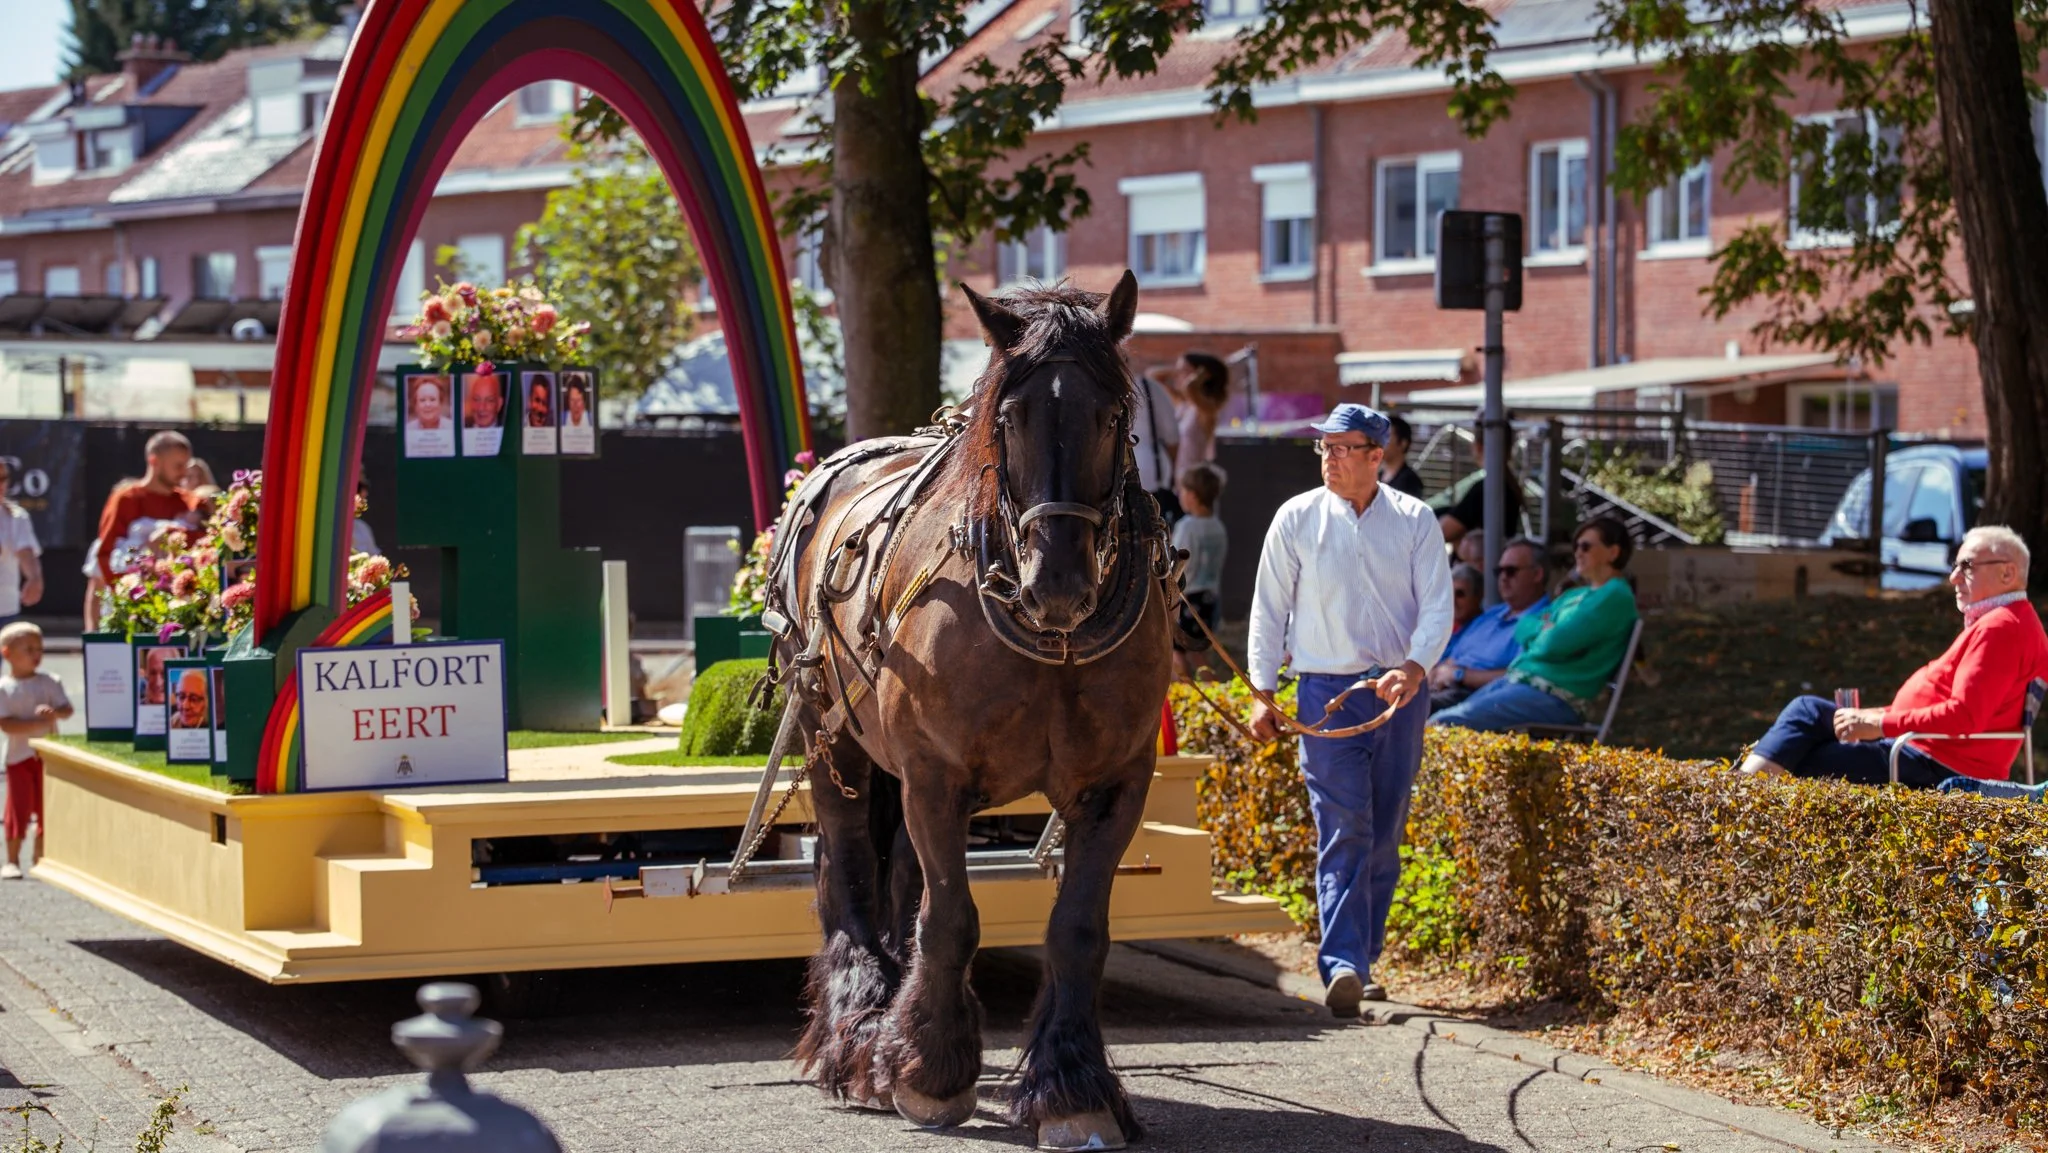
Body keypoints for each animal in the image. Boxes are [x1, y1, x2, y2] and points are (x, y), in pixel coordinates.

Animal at [757, 271, 1175, 1150]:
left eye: (1112, 412)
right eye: (1010, 416)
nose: (1059, 581)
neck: (1049, 640)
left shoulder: (1115, 783)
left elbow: (1075, 929)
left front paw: (1071, 1086)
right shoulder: (935, 773)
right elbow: (952, 918)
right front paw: (925, 1072)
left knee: (904, 879)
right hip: (833, 740)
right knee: (849, 864)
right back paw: (859, 1028)